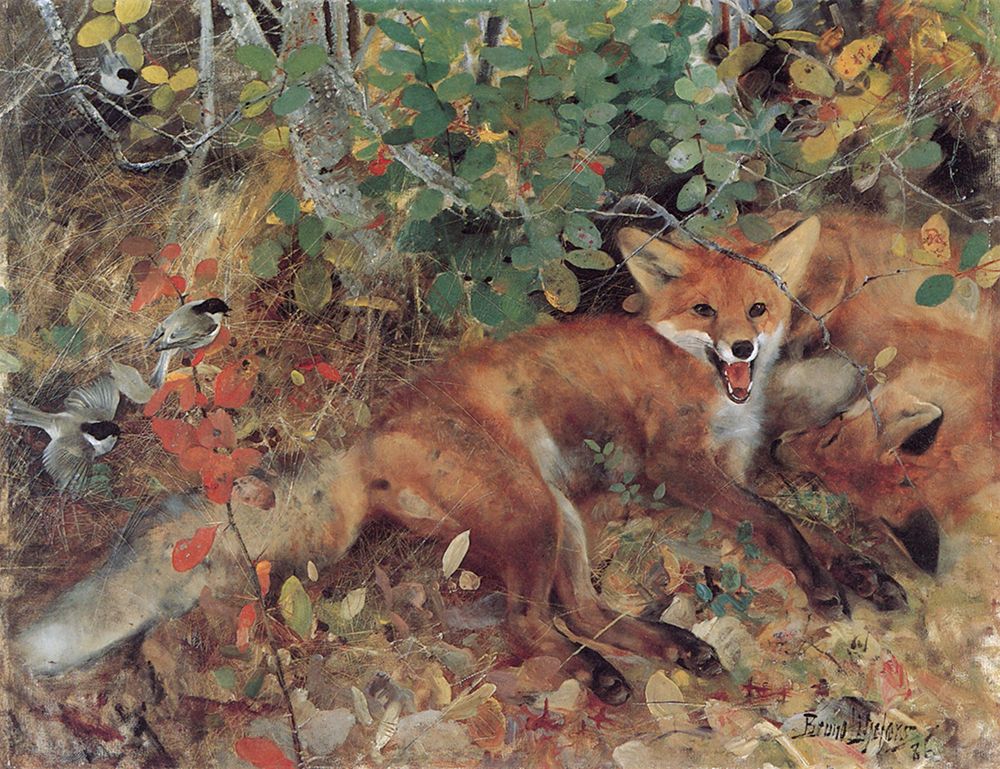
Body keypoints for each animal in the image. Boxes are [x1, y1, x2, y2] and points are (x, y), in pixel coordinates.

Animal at [17, 217, 874, 701]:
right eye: (704, 310)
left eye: (758, 309)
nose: (743, 347)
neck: (703, 379)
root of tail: (367, 436)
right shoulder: (681, 466)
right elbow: (781, 521)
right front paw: (826, 585)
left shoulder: (732, 466)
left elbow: (808, 519)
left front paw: (864, 573)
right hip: (533, 512)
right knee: (532, 623)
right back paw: (600, 675)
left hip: (556, 514)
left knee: (581, 610)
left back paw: (673, 646)